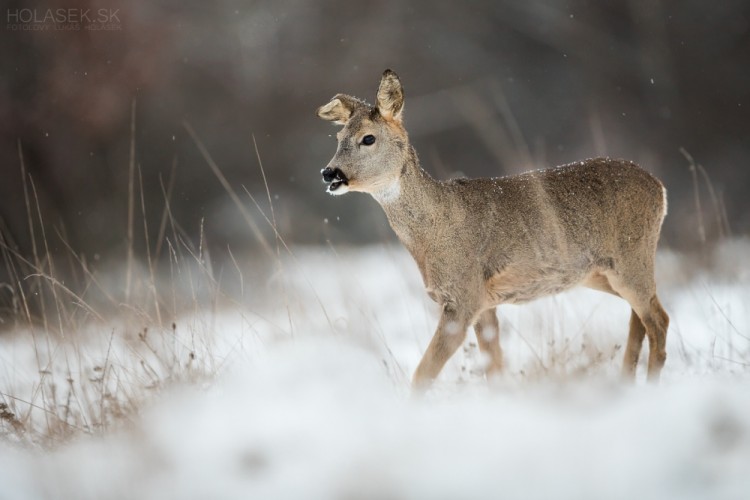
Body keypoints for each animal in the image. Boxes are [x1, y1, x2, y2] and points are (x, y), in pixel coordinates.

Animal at [318, 69, 668, 386]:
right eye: (337, 138)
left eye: (368, 138)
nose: (329, 173)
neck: (435, 229)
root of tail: (660, 188)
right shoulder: (483, 303)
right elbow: (495, 368)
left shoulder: (464, 294)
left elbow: (423, 375)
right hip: (602, 272)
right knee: (641, 318)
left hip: (631, 258)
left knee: (658, 320)